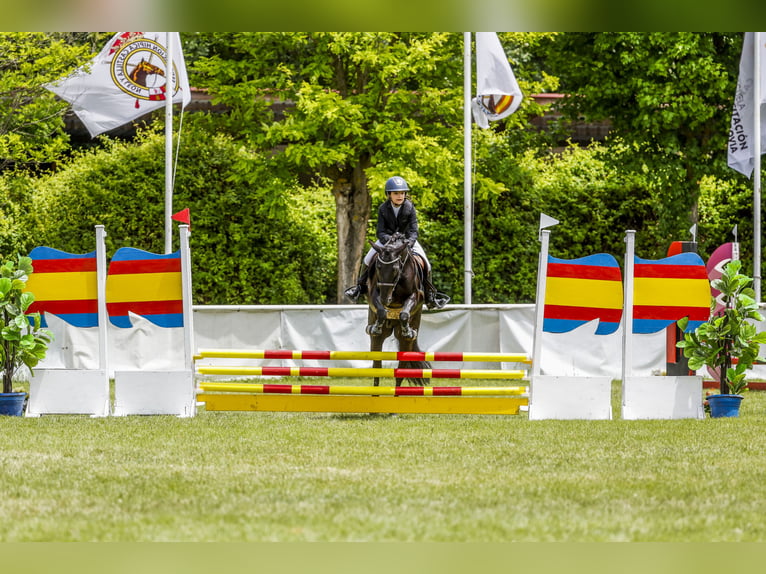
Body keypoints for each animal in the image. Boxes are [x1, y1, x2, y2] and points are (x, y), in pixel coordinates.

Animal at [366, 233, 432, 388]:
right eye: (378, 267)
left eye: (395, 269)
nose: (385, 300)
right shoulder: (373, 293)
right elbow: (381, 311)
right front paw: (377, 325)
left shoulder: (416, 296)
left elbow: (404, 314)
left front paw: (407, 330)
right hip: (378, 338)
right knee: (377, 367)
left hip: (405, 342)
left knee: (401, 370)